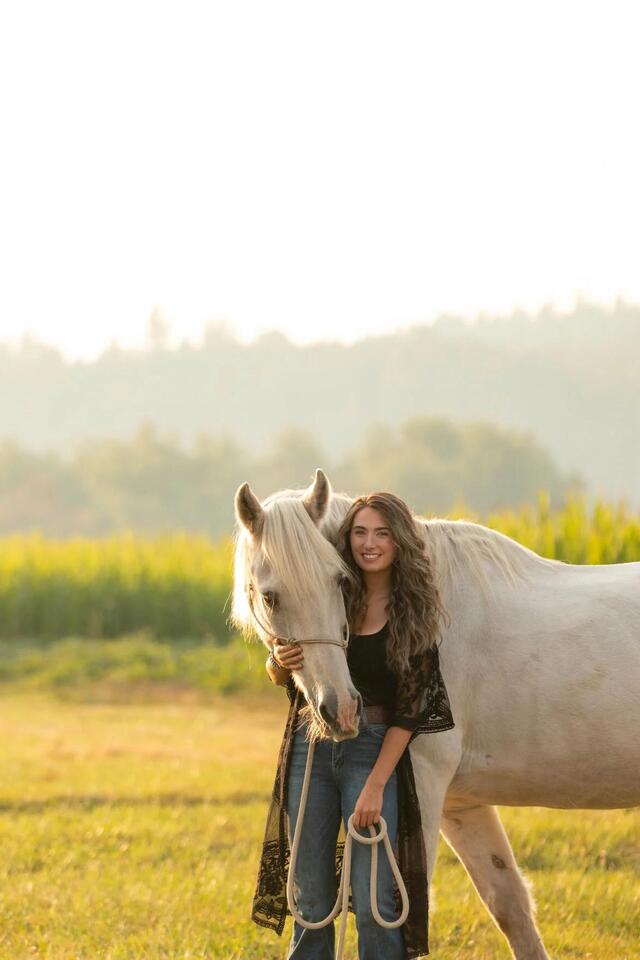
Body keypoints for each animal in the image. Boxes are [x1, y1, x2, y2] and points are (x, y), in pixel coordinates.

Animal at [232, 469, 640, 960]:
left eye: (340, 581)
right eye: (271, 597)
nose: (342, 709)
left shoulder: (420, 789)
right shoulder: (463, 807)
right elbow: (511, 906)